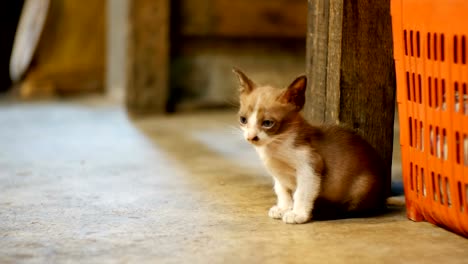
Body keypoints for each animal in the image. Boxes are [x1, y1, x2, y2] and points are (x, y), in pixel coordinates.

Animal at [233, 68, 388, 225]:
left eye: (267, 123)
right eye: (243, 120)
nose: (251, 137)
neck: (275, 147)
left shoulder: (311, 167)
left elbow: (301, 193)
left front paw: (297, 214)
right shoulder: (278, 174)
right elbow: (282, 190)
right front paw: (284, 208)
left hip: (362, 185)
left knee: (354, 209)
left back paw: (324, 211)